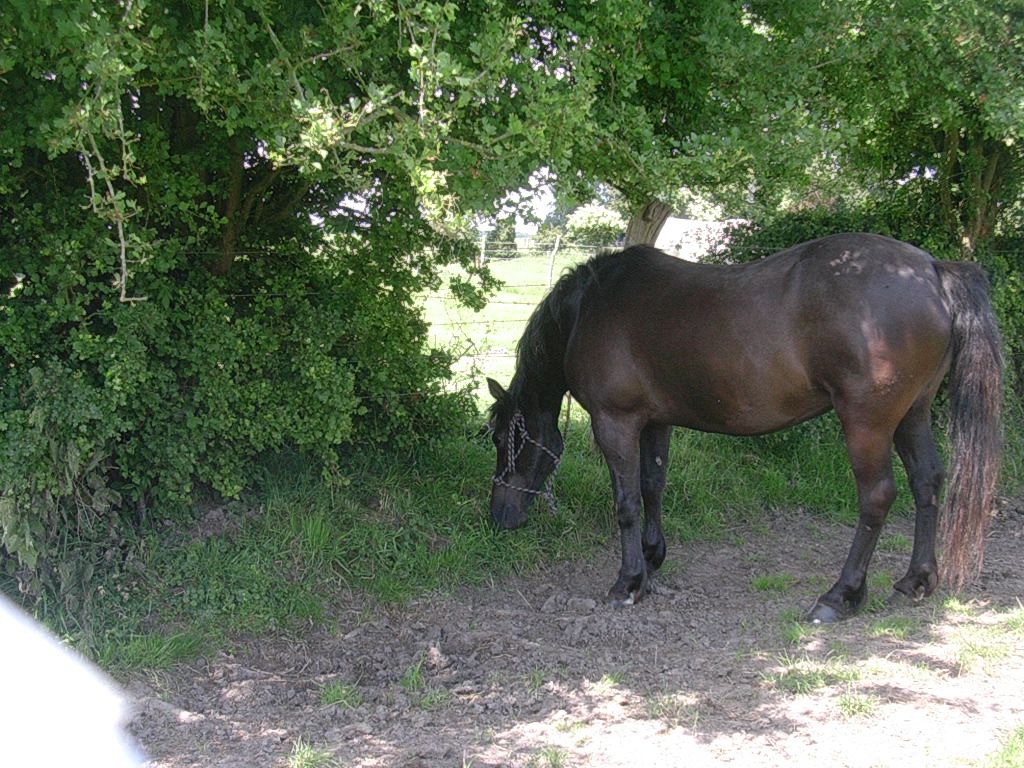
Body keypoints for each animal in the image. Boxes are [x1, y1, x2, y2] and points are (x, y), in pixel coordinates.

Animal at [486, 233, 1002, 622]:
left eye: (502, 441)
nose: (498, 516)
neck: (589, 309)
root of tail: (932, 269)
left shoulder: (616, 423)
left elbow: (627, 502)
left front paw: (628, 583)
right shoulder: (656, 422)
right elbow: (653, 486)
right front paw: (652, 559)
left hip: (868, 423)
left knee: (876, 497)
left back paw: (840, 596)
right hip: (912, 415)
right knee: (927, 483)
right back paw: (916, 581)